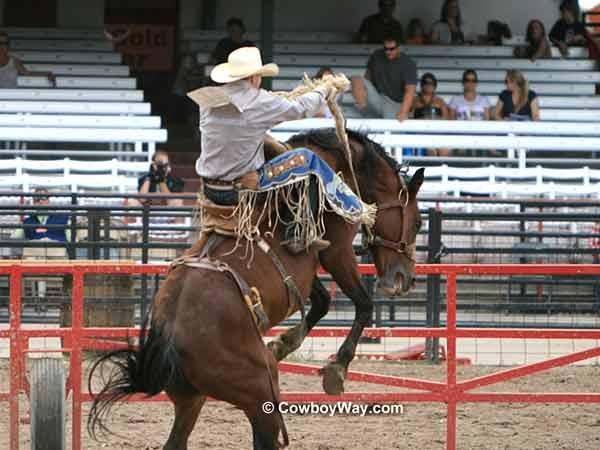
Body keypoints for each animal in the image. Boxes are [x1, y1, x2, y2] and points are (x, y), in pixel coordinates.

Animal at [88, 128, 426, 448]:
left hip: (191, 398)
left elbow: (321, 302)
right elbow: (362, 303)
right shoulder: (337, 252)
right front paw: (336, 369)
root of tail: (168, 340)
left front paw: (283, 343)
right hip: (260, 392)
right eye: (418, 222)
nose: (404, 279)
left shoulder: (304, 274)